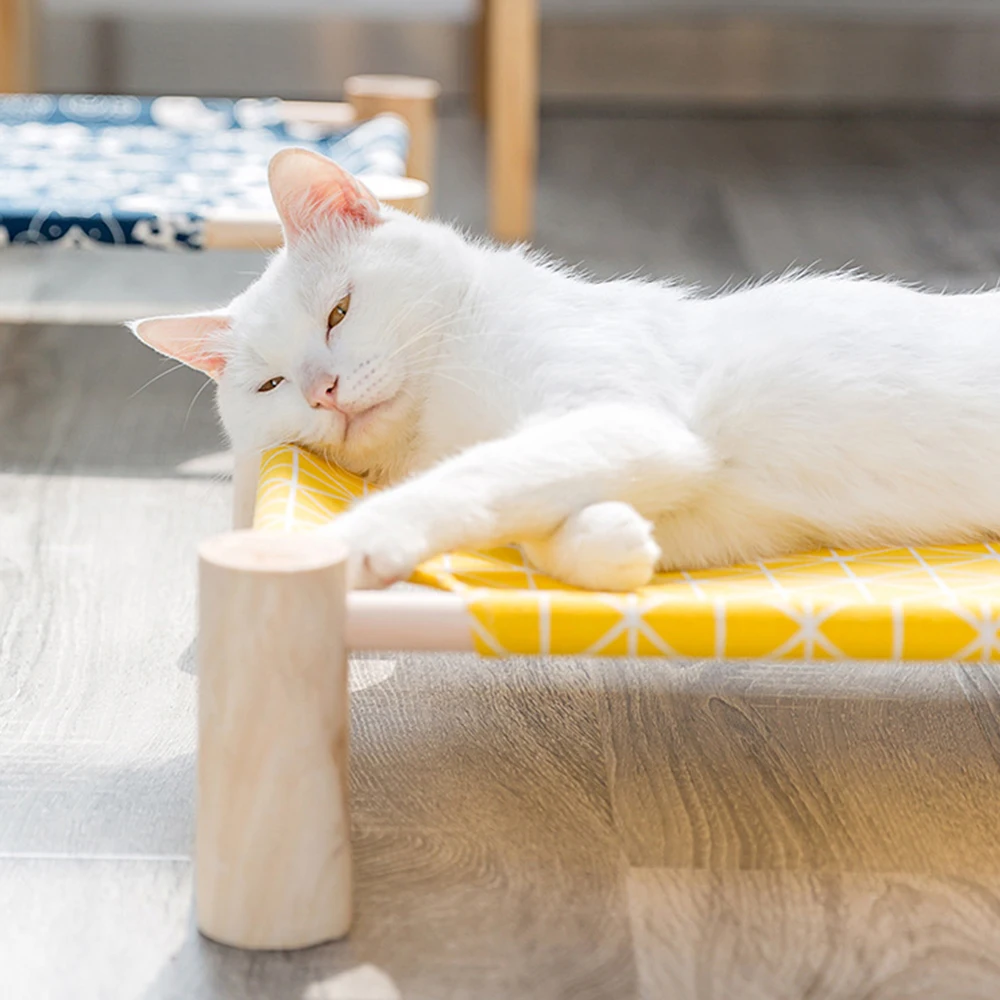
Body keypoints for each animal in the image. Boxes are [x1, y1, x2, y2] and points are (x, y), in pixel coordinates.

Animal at [133, 145, 1000, 588]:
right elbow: (537, 518)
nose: (323, 390)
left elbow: (479, 476)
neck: (443, 411)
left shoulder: (625, 417)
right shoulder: (706, 500)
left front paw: (359, 537)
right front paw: (607, 542)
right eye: (270, 386)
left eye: (338, 312)